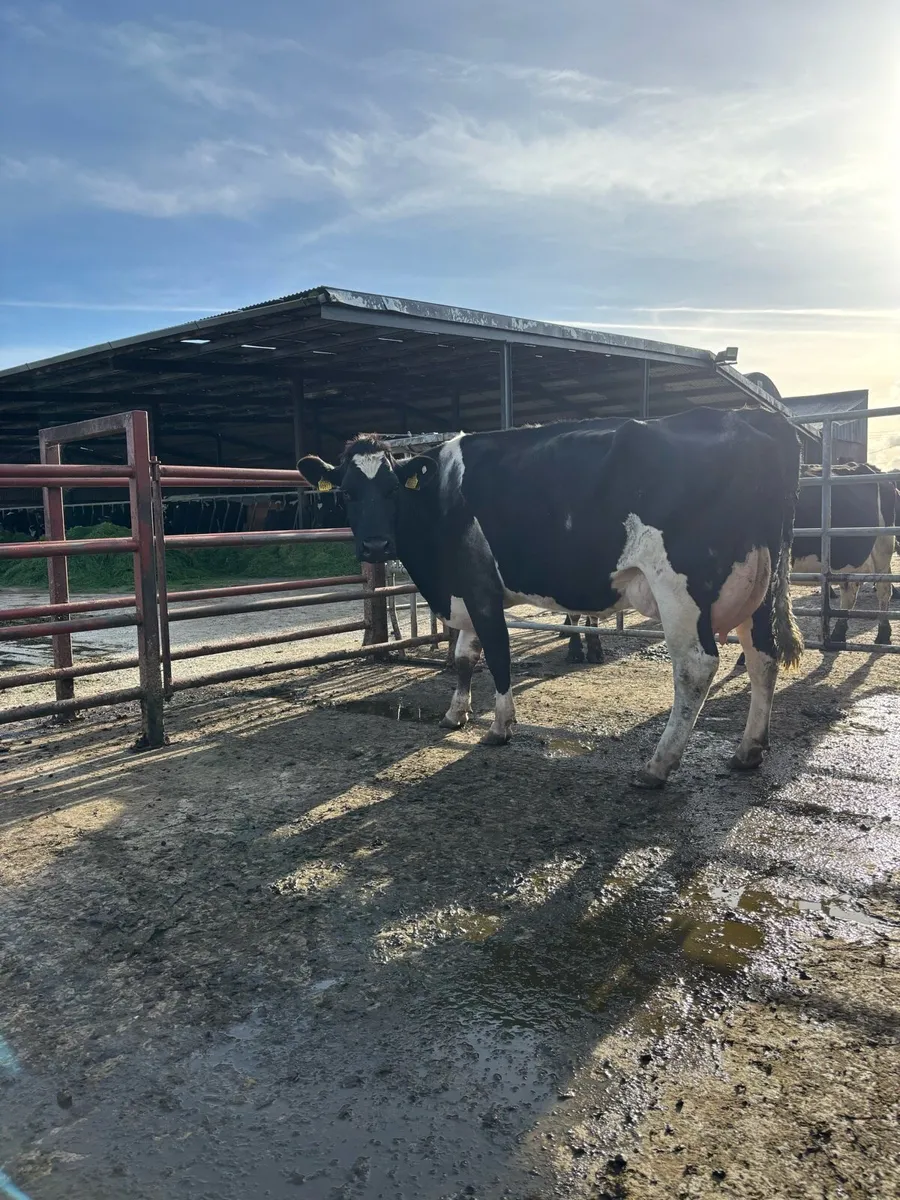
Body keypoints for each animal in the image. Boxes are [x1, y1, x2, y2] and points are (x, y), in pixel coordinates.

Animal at [300, 406, 803, 789]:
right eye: (346, 492)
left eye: (390, 490)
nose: (376, 546)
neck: (439, 496)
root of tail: (749, 418)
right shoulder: (466, 592)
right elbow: (463, 658)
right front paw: (454, 714)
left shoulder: (480, 588)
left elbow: (497, 656)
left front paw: (500, 726)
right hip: (759, 587)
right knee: (763, 658)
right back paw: (748, 751)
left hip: (682, 587)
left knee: (695, 667)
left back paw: (657, 766)